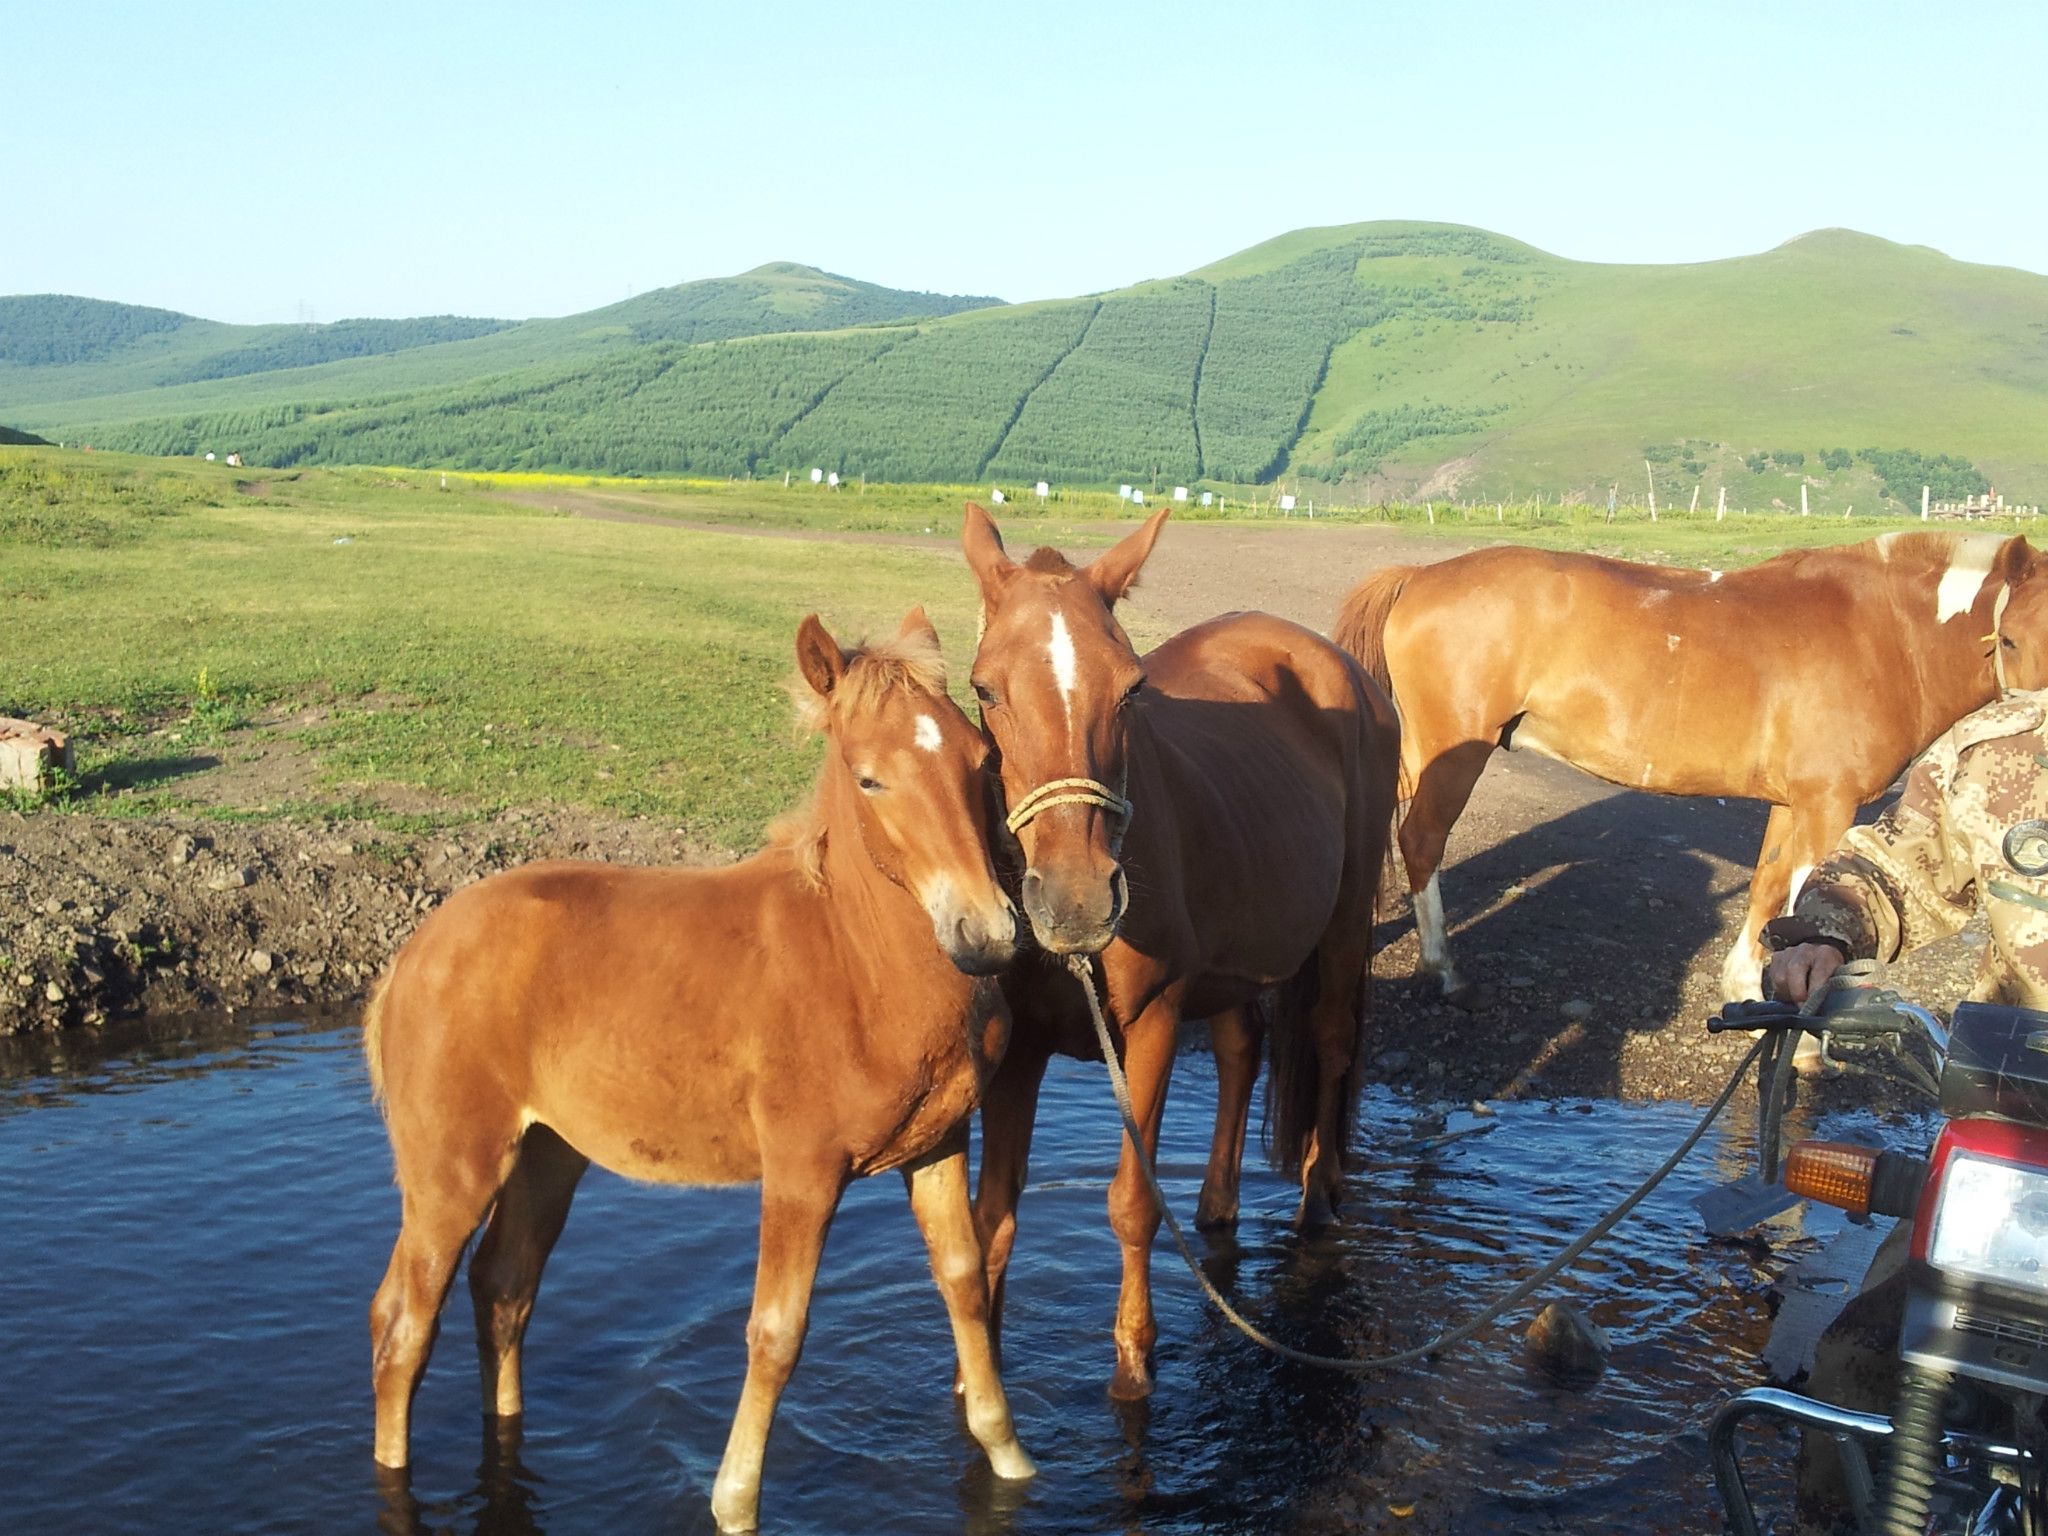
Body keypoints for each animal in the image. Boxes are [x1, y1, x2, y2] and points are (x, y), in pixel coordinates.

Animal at [360, 614, 1032, 1536]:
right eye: (870, 778)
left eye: (982, 760)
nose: (987, 935)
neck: (857, 962)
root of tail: (410, 956)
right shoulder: (801, 1173)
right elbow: (777, 1332)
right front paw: (735, 1500)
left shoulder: (937, 1148)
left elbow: (964, 1284)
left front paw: (1009, 1457)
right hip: (451, 1170)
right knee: (402, 1322)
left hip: (547, 1154)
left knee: (503, 1287)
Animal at [958, 507, 1409, 1409]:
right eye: (985, 689)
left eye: (1131, 689)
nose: (1077, 901)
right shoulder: (1020, 1049)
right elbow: (994, 1210)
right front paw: (978, 1369)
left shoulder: (1154, 1025)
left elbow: (1132, 1203)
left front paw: (1134, 1359)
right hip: (1239, 951)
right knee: (1242, 1050)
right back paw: (1215, 1207)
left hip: (1342, 924)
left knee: (1333, 1043)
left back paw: (1317, 1197)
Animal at [1335, 536, 2048, 1003]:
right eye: (2010, 637)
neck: (1884, 634)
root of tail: (1418, 576)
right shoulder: (1829, 806)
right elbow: (1801, 900)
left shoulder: (1793, 803)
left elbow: (1768, 889)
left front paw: (1746, 987)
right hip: (1454, 750)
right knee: (1420, 840)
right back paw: (1440, 965)